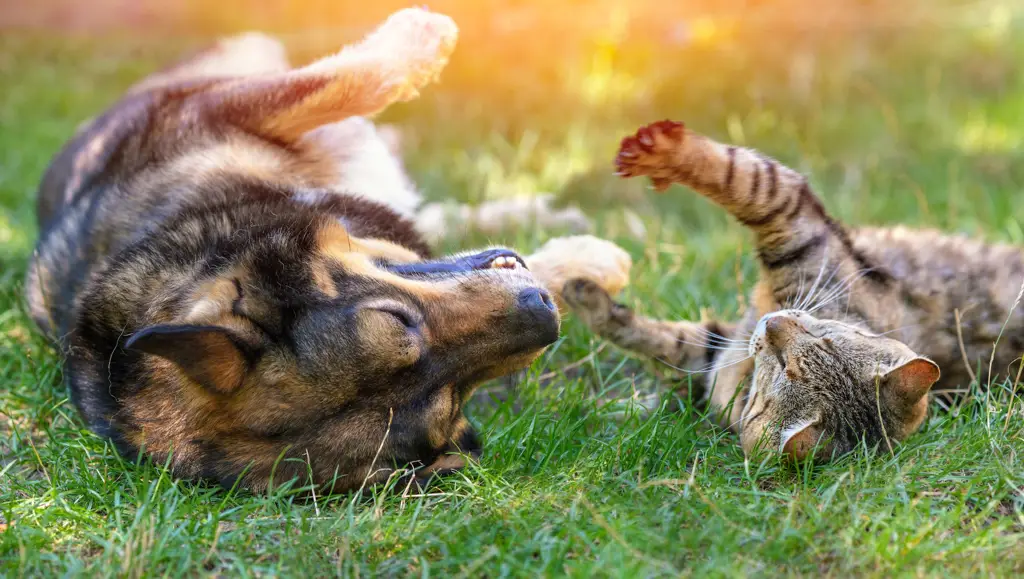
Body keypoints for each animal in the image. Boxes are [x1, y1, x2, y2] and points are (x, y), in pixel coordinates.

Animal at [25, 7, 561, 491]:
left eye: (396, 318)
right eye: (446, 403)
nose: (543, 311)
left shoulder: (206, 108)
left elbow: (333, 82)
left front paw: (422, 35)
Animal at [561, 118, 1024, 461]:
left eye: (786, 366)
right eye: (825, 336)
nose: (774, 324)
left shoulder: (791, 218)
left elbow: (740, 175)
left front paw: (663, 151)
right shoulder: (715, 346)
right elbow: (651, 334)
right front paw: (586, 296)